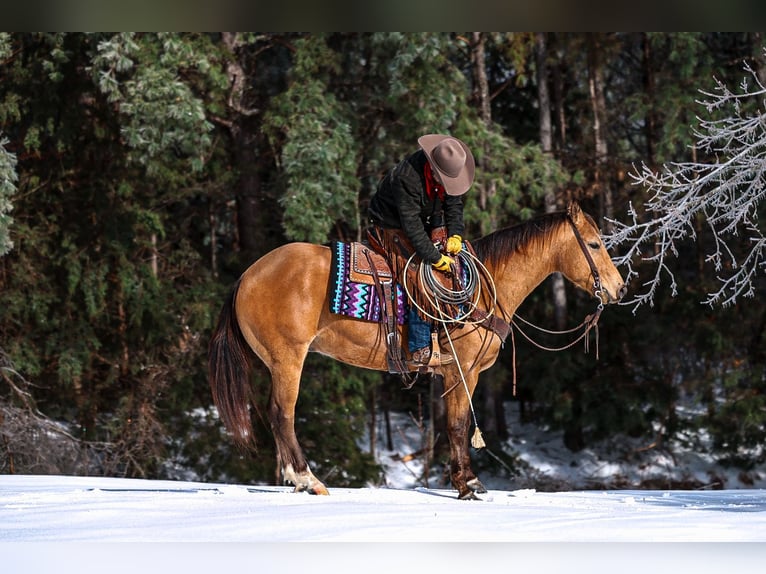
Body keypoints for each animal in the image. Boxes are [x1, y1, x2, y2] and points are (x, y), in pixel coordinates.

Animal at [208, 201, 626, 499]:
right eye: (594, 244)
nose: (618, 288)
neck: (485, 289)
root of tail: (246, 276)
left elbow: (452, 426)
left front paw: (462, 482)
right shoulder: (463, 371)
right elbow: (458, 426)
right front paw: (469, 485)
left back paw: (295, 480)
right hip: (288, 359)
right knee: (283, 414)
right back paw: (308, 479)